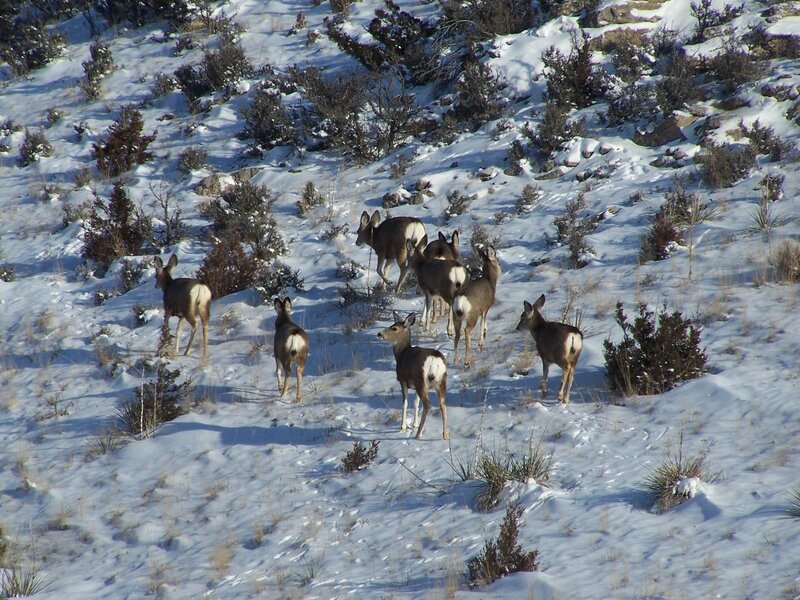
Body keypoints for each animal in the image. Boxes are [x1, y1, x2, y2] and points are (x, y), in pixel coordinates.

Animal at [377, 312, 449, 440]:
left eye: (394, 328)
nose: (379, 334)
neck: (401, 354)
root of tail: (435, 360)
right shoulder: (415, 385)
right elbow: (416, 402)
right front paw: (415, 424)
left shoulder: (402, 380)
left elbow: (405, 403)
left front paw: (403, 427)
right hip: (440, 382)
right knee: (443, 405)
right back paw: (445, 434)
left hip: (421, 379)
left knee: (427, 404)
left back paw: (418, 434)